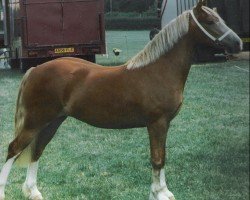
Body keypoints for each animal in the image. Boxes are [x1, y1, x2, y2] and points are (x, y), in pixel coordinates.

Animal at [0, 0, 242, 199]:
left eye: (220, 19)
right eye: (210, 21)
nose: (238, 44)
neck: (159, 70)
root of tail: (36, 69)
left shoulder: (164, 125)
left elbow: (162, 157)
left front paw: (162, 191)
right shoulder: (157, 123)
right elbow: (157, 159)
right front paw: (159, 193)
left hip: (52, 122)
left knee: (37, 150)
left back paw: (34, 192)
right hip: (35, 121)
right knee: (14, 149)